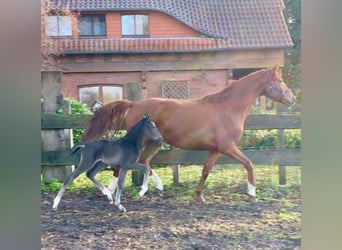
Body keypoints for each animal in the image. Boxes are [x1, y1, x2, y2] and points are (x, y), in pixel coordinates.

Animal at [81, 65, 296, 202]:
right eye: (280, 80)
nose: (292, 100)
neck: (228, 108)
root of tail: (133, 104)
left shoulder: (216, 149)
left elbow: (206, 170)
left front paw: (199, 195)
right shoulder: (227, 147)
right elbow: (249, 163)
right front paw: (252, 193)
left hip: (154, 143)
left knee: (145, 162)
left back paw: (152, 188)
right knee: (126, 165)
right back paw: (110, 193)